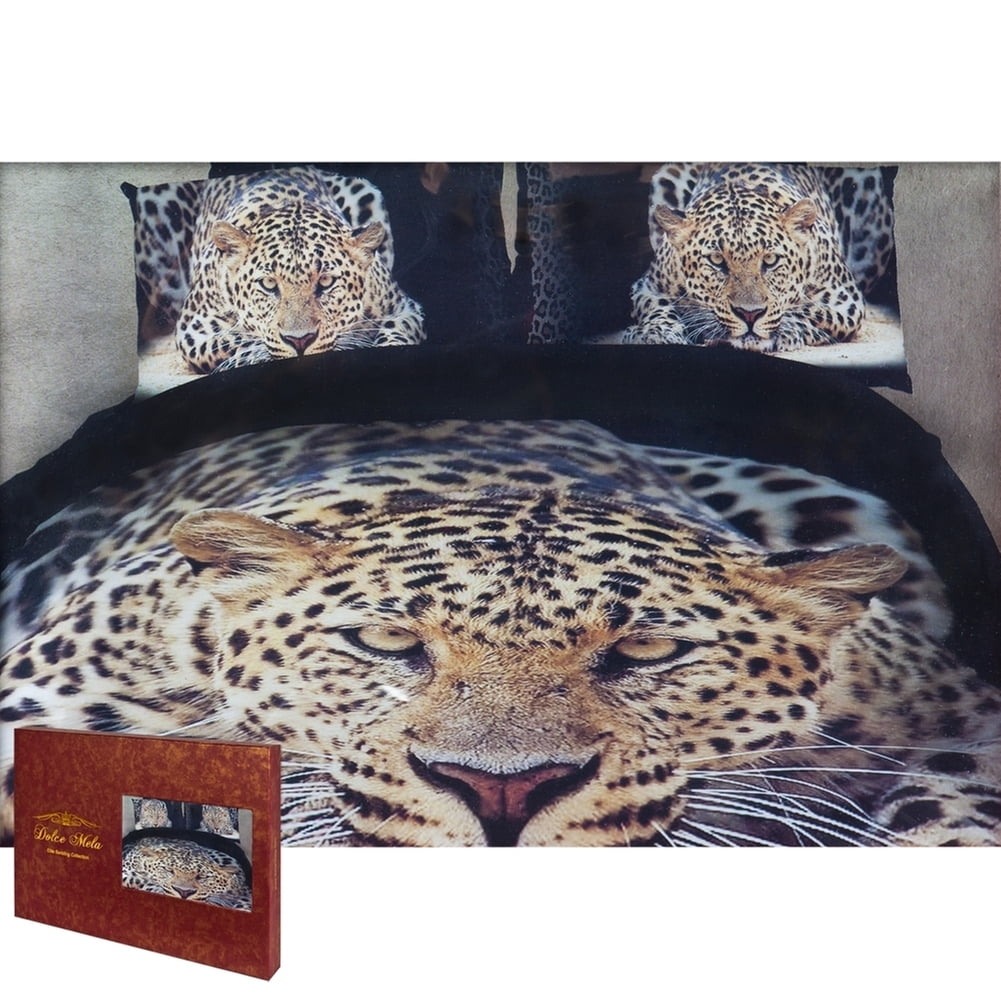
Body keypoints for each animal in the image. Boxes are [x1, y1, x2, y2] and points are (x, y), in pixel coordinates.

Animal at [124, 166, 425, 374]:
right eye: (268, 285)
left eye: (326, 282)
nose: (300, 341)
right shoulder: (194, 330)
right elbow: (237, 340)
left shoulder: (406, 309)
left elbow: (397, 333)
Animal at [623, 163, 896, 352]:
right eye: (717, 261)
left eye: (771, 261)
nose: (750, 315)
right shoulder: (648, 286)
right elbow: (656, 307)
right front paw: (655, 332)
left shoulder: (846, 299)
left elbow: (812, 311)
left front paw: (787, 330)